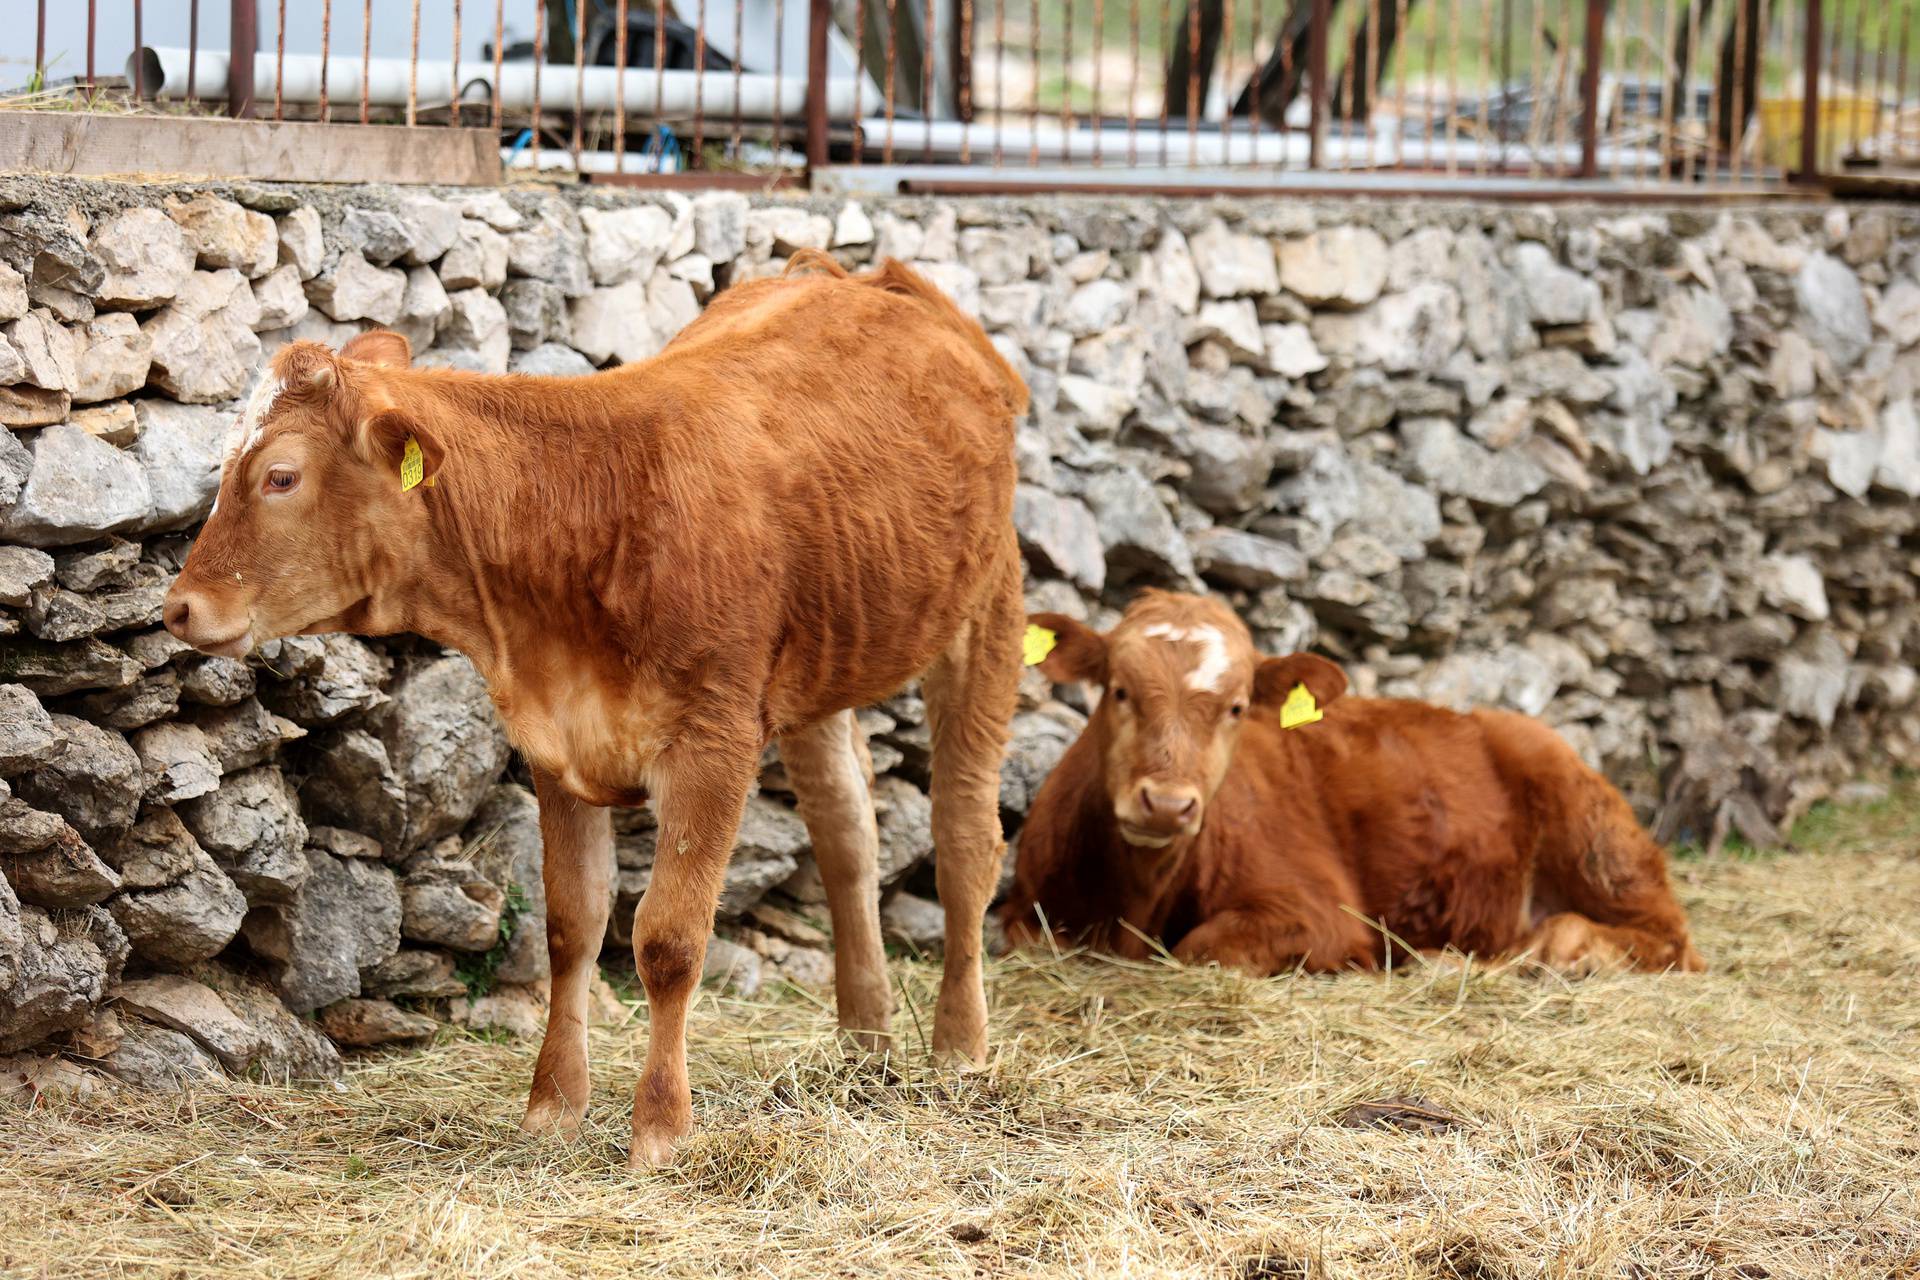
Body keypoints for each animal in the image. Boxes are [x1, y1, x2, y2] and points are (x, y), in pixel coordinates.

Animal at [161, 255, 1036, 1166]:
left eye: (281, 476)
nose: (179, 607)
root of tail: (860, 274)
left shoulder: (714, 743)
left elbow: (668, 940)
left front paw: (660, 1128)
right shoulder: (556, 744)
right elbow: (571, 928)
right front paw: (553, 1108)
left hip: (989, 607)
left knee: (964, 837)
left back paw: (960, 1048)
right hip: (822, 660)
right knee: (846, 837)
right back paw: (865, 1041)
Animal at [998, 594, 1704, 974]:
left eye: (1236, 707)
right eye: (1118, 690)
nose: (1167, 805)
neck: (1134, 903)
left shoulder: (1320, 911)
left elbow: (1201, 946)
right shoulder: (1026, 913)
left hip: (1598, 842)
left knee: (1667, 939)